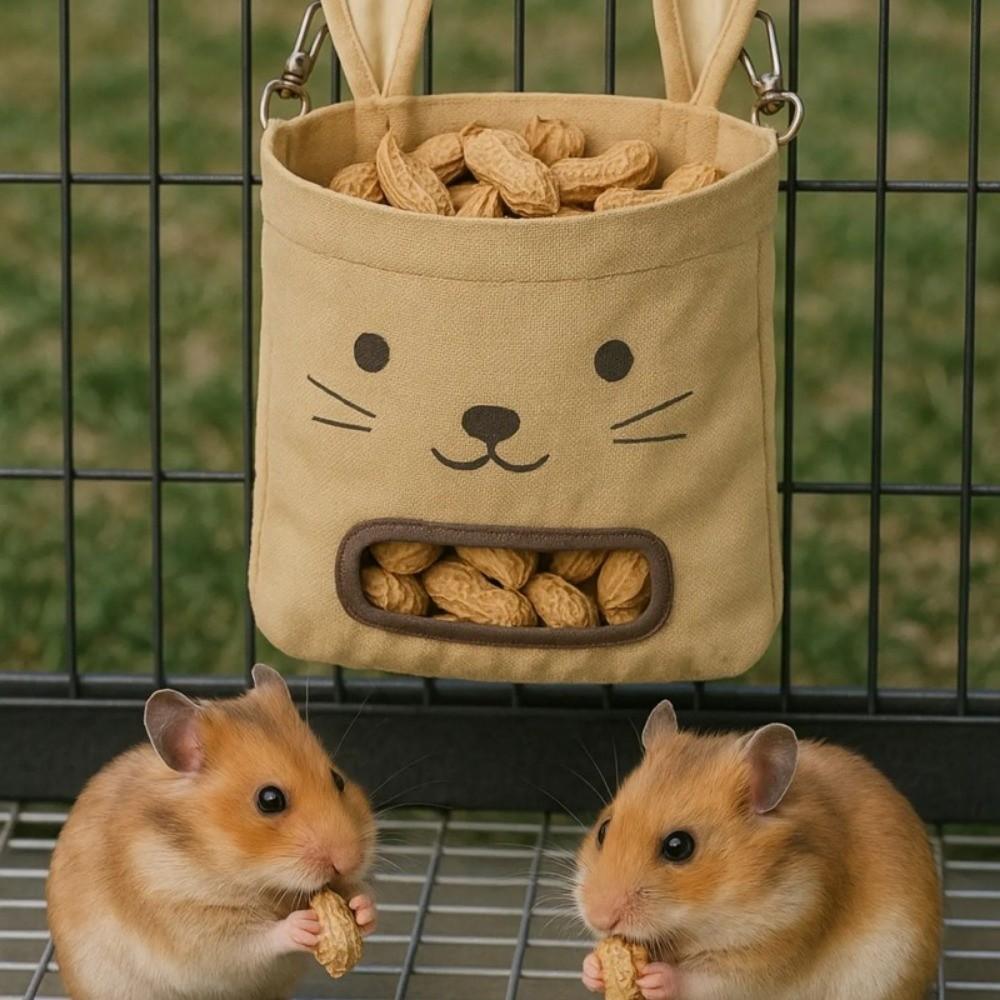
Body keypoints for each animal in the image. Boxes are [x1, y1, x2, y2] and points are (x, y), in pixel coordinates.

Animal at [47, 664, 377, 1000]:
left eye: (337, 779)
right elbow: (254, 940)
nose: (350, 861)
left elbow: (360, 894)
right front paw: (303, 924)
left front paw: (362, 909)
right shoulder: (189, 920)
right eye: (270, 799)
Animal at [577, 701, 940, 1000]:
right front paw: (593, 968)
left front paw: (655, 978)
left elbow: (704, 980)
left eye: (678, 847)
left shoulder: (776, 944)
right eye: (604, 829)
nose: (599, 918)